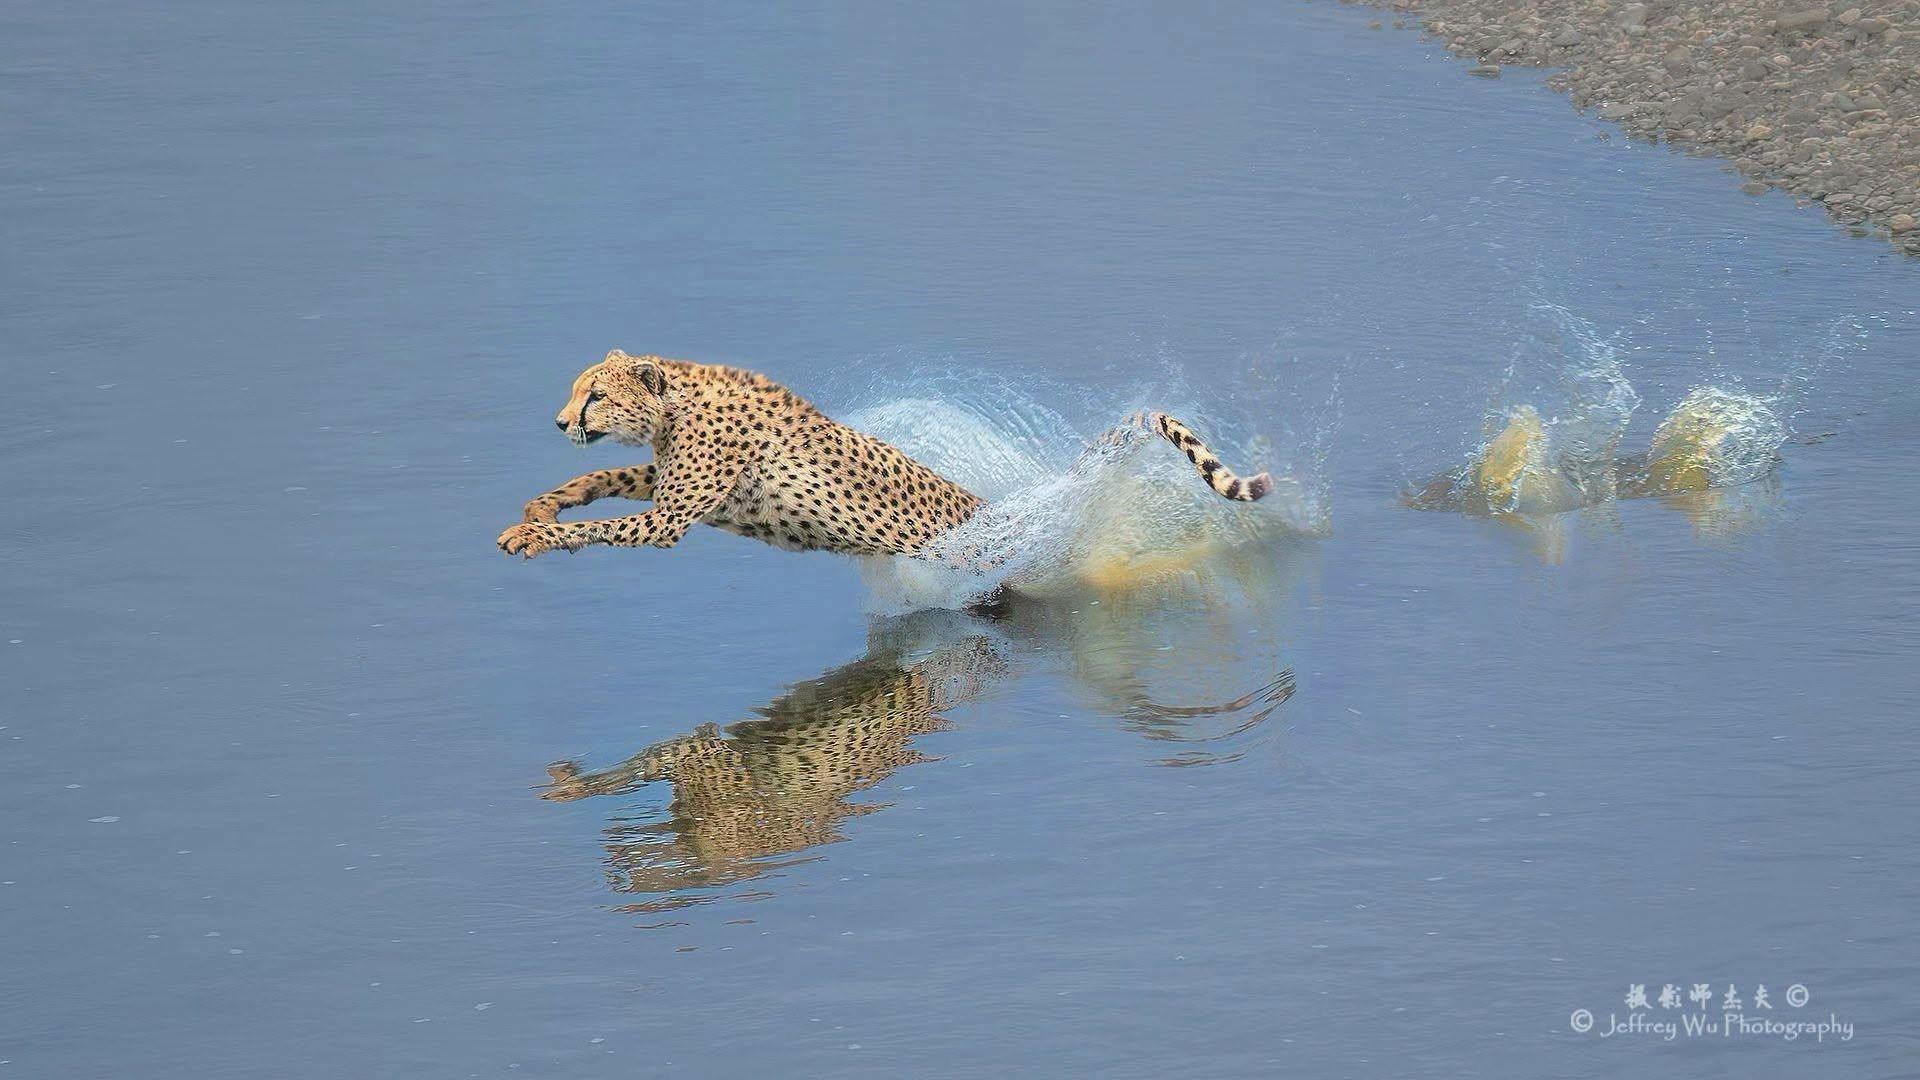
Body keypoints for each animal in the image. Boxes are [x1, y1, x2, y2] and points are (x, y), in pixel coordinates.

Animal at [494, 349, 1272, 561]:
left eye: (594, 395)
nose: (559, 420)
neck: (678, 401)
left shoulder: (671, 517)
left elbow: (604, 524)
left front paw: (535, 536)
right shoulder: (669, 482)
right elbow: (604, 477)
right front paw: (540, 506)